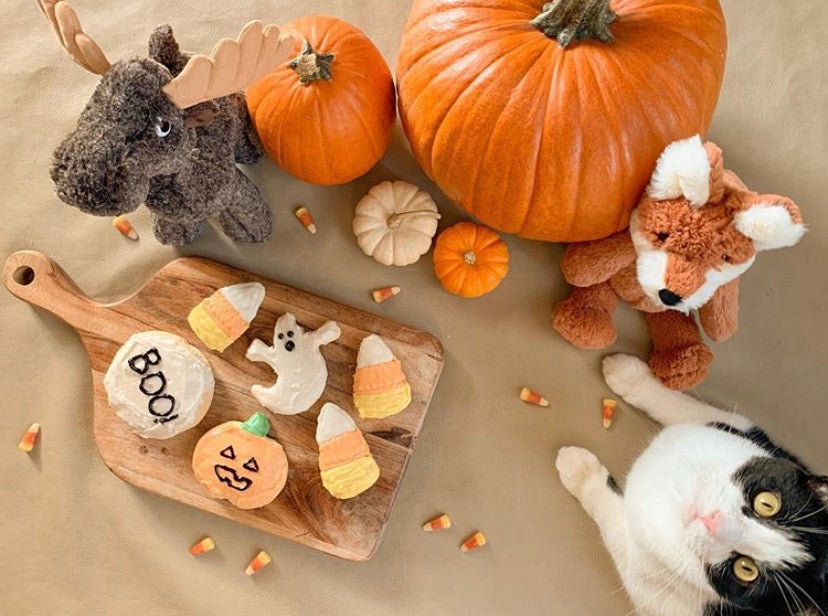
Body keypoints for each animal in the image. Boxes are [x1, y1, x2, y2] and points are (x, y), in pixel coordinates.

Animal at [556, 354, 828, 612]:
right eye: (767, 503)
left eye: (746, 569)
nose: (712, 520)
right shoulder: (748, 433)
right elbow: (690, 408)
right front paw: (628, 374)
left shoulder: (651, 587)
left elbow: (611, 516)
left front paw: (579, 469)